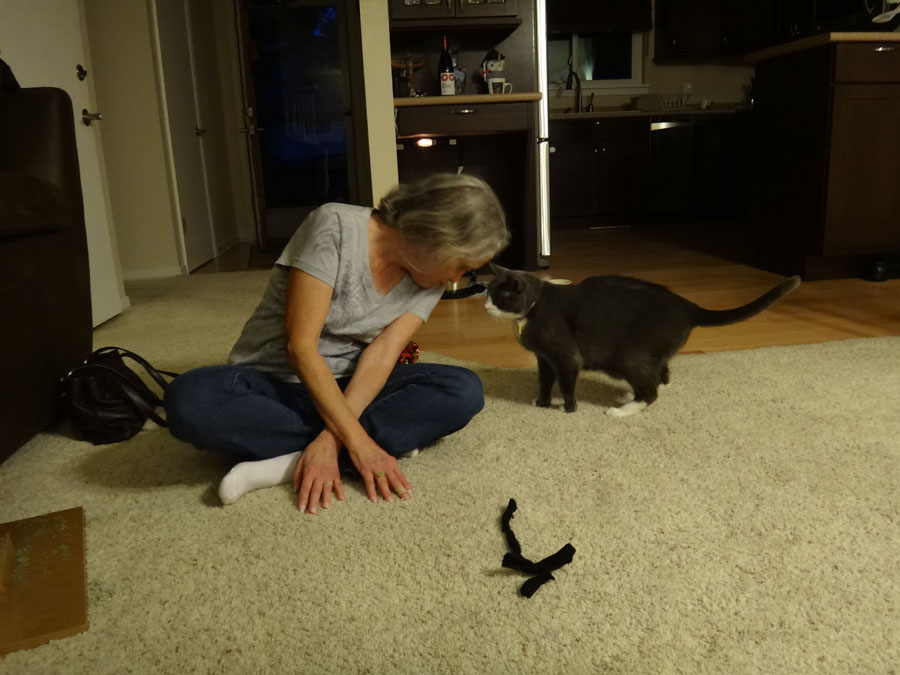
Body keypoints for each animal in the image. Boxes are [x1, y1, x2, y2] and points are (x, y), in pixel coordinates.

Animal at [484, 264, 801, 416]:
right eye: (486, 292)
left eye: (498, 296)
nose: (485, 307)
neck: (533, 308)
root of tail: (688, 306)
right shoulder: (544, 358)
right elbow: (545, 381)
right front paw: (541, 402)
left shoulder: (565, 356)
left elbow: (567, 383)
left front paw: (569, 408)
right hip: (645, 357)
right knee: (661, 376)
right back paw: (629, 395)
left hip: (629, 357)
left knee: (652, 391)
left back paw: (622, 411)